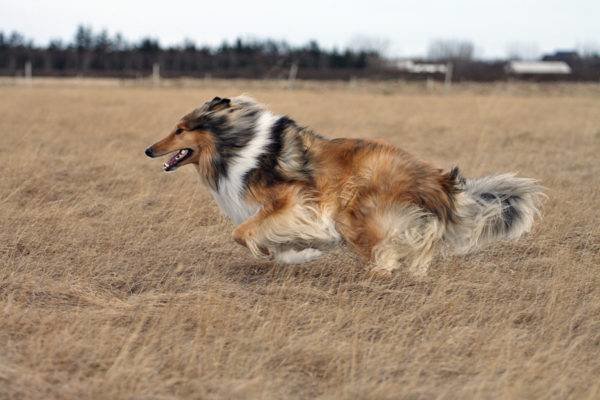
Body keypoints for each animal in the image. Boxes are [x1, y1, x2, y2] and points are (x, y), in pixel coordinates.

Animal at [144, 97, 544, 278]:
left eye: (180, 129)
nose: (148, 150)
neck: (234, 145)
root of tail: (438, 178)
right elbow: (269, 242)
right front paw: (298, 254)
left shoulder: (293, 202)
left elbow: (242, 233)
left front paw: (295, 252)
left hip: (357, 214)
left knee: (385, 254)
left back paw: (380, 275)